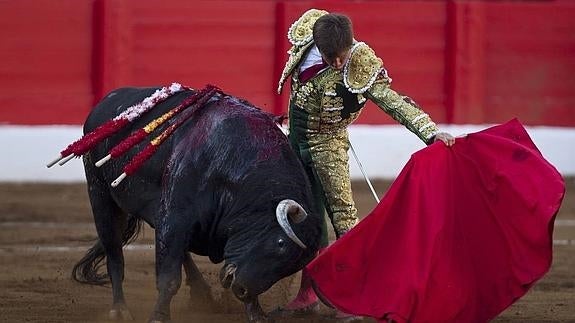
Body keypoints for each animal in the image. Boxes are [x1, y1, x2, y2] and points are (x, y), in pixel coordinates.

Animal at [73, 87, 322, 322]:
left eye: (291, 266)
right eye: (280, 243)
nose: (242, 290)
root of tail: (104, 104)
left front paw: (256, 314)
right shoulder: (176, 217)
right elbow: (169, 277)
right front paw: (159, 317)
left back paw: (203, 295)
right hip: (100, 195)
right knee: (114, 252)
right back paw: (120, 310)